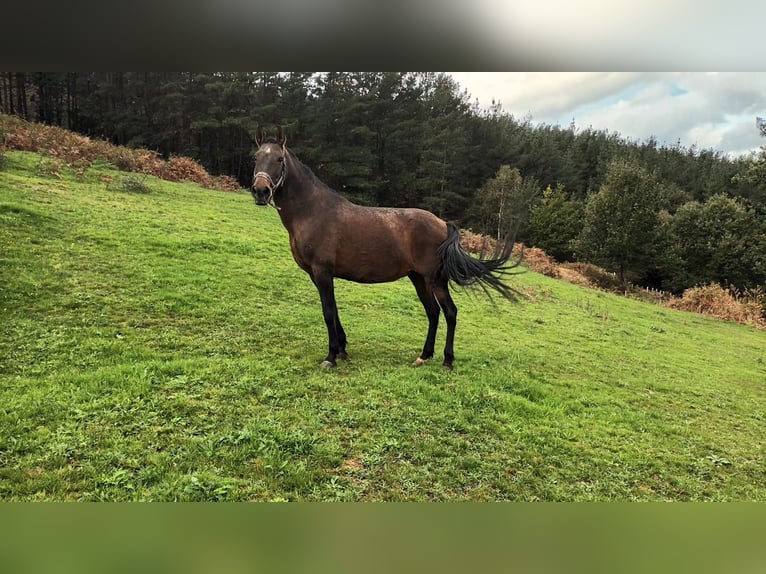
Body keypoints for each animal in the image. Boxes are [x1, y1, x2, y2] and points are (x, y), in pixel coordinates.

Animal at [250, 126, 521, 370]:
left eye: (279, 159)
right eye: (256, 157)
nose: (261, 191)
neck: (312, 211)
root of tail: (444, 224)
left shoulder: (322, 272)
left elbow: (328, 312)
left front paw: (331, 357)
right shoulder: (316, 275)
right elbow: (334, 310)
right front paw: (343, 350)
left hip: (435, 279)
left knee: (450, 312)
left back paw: (447, 361)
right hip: (418, 278)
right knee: (433, 312)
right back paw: (424, 356)